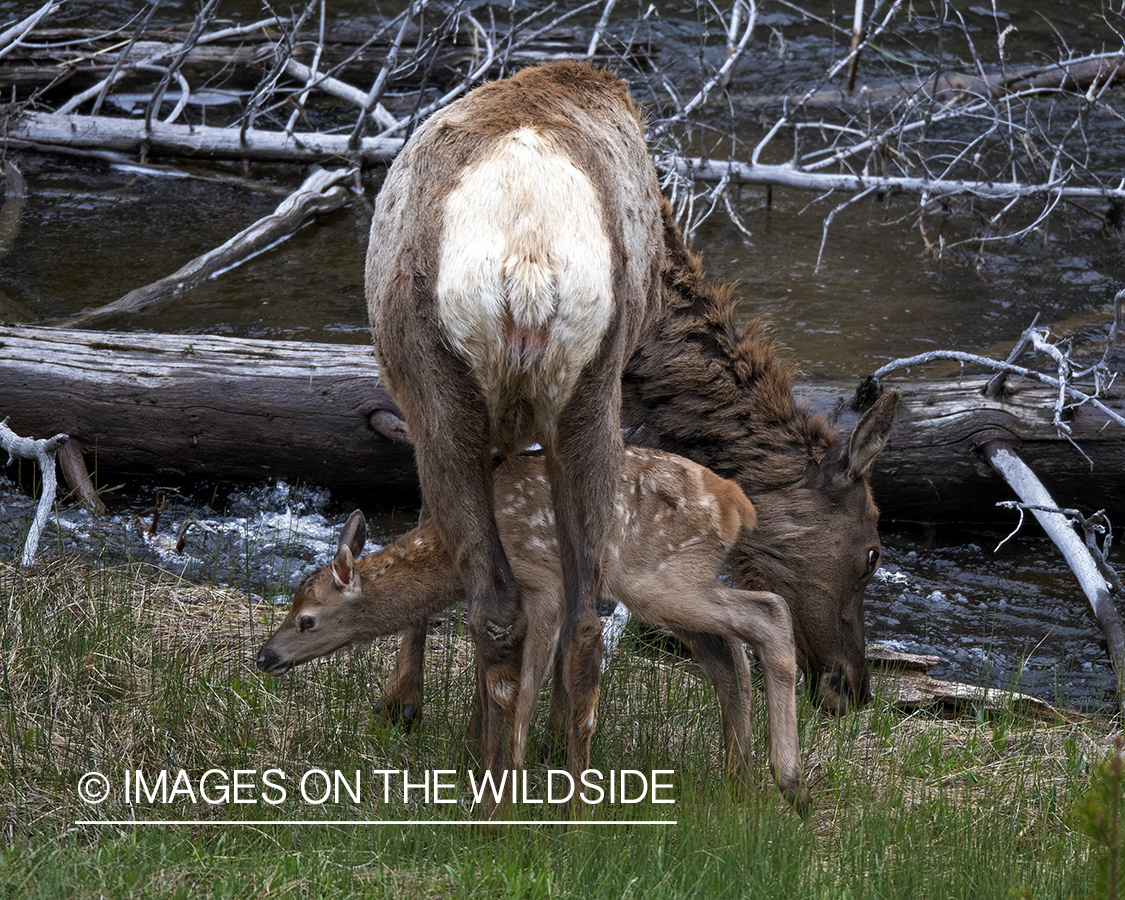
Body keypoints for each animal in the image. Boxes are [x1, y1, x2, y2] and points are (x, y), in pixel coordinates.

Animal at [257, 450, 810, 810]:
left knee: (769, 613)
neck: (455, 559)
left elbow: (524, 689)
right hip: (679, 583)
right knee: (729, 656)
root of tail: (738, 505)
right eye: (291, 606)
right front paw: (481, 763)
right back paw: (740, 777)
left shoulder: (543, 581)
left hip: (656, 576)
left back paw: (789, 781)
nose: (265, 656)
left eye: (307, 620)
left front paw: (516, 775)